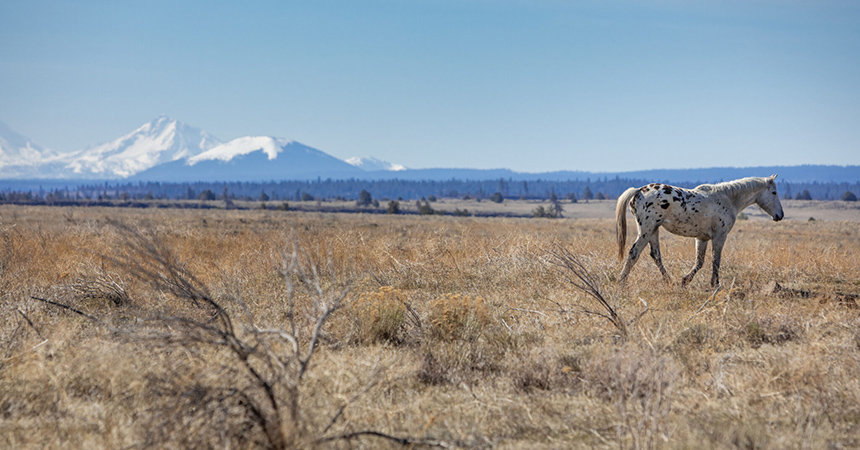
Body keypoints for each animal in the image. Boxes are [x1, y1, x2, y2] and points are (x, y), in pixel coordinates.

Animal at [616, 174, 784, 286]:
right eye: (774, 192)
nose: (780, 215)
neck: (727, 199)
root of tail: (638, 191)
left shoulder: (702, 238)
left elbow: (700, 262)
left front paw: (685, 281)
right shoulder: (719, 236)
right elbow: (716, 260)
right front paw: (715, 284)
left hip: (653, 230)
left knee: (655, 255)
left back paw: (669, 280)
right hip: (647, 229)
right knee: (634, 253)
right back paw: (622, 281)